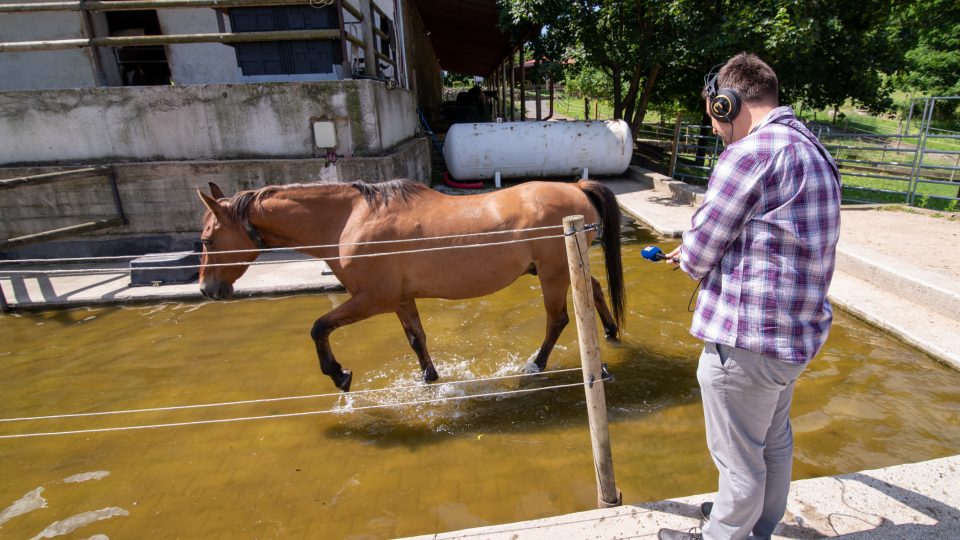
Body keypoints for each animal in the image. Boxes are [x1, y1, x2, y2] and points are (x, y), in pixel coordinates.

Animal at [199, 179, 628, 390]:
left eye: (207, 240)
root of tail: (577, 187)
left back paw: (536, 364)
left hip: (553, 274)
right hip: (560, 269)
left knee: (558, 320)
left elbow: (319, 327)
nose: (207, 289)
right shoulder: (400, 300)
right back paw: (609, 333)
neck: (350, 219)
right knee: (593, 289)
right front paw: (429, 378)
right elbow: (416, 339)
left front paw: (338, 374)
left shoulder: (372, 299)